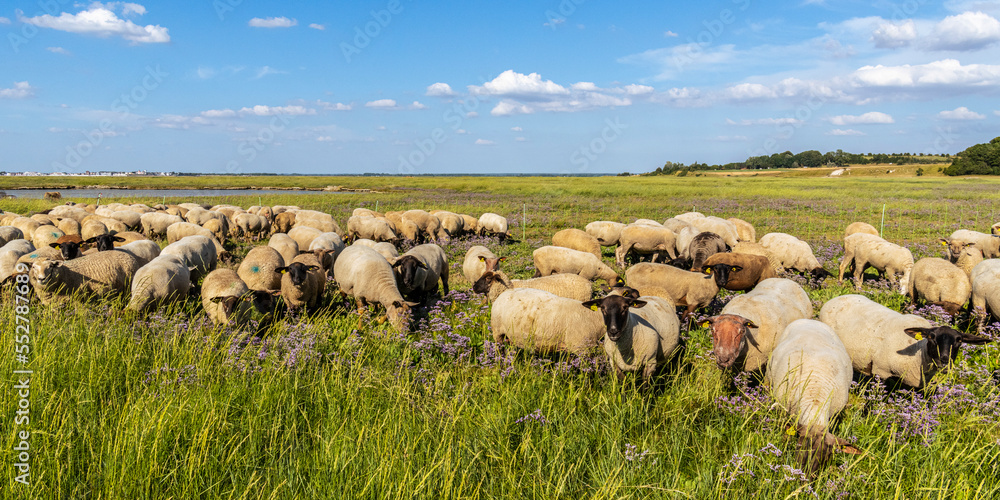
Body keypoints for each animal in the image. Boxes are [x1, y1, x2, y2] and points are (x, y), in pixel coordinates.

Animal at [819, 294, 991, 388]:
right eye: (932, 337)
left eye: (959, 341)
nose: (944, 361)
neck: (920, 354)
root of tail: (836, 298)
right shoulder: (881, 371)